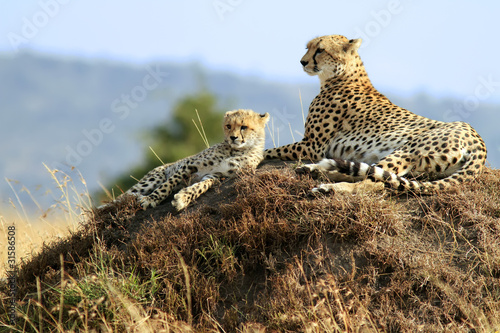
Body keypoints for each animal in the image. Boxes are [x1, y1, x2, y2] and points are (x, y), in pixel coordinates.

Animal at [268, 34, 486, 192]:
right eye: (308, 47)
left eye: (320, 50)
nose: (302, 62)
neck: (343, 75)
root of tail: (476, 137)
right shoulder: (312, 145)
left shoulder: (312, 145)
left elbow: (270, 150)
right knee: (368, 173)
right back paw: (318, 171)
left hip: (407, 151)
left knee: (372, 180)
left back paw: (328, 185)